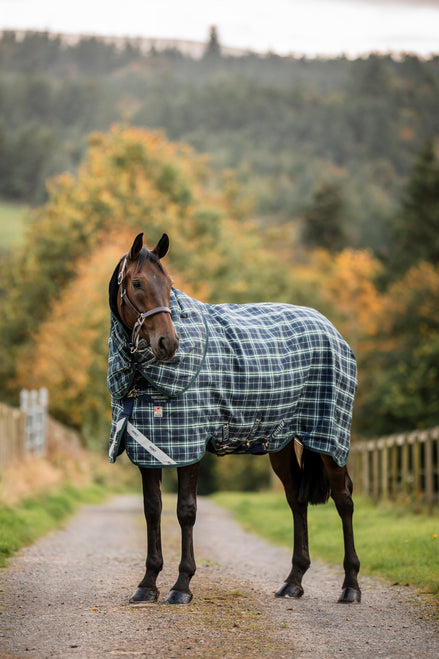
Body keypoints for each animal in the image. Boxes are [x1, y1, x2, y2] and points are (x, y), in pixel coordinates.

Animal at [107, 232, 361, 605]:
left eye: (169, 285)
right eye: (137, 283)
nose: (168, 343)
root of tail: (330, 328)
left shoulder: (190, 446)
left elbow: (186, 510)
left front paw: (182, 585)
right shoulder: (150, 446)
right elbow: (152, 509)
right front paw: (148, 584)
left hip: (328, 436)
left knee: (344, 500)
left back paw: (351, 585)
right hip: (280, 442)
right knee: (296, 499)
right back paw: (293, 581)